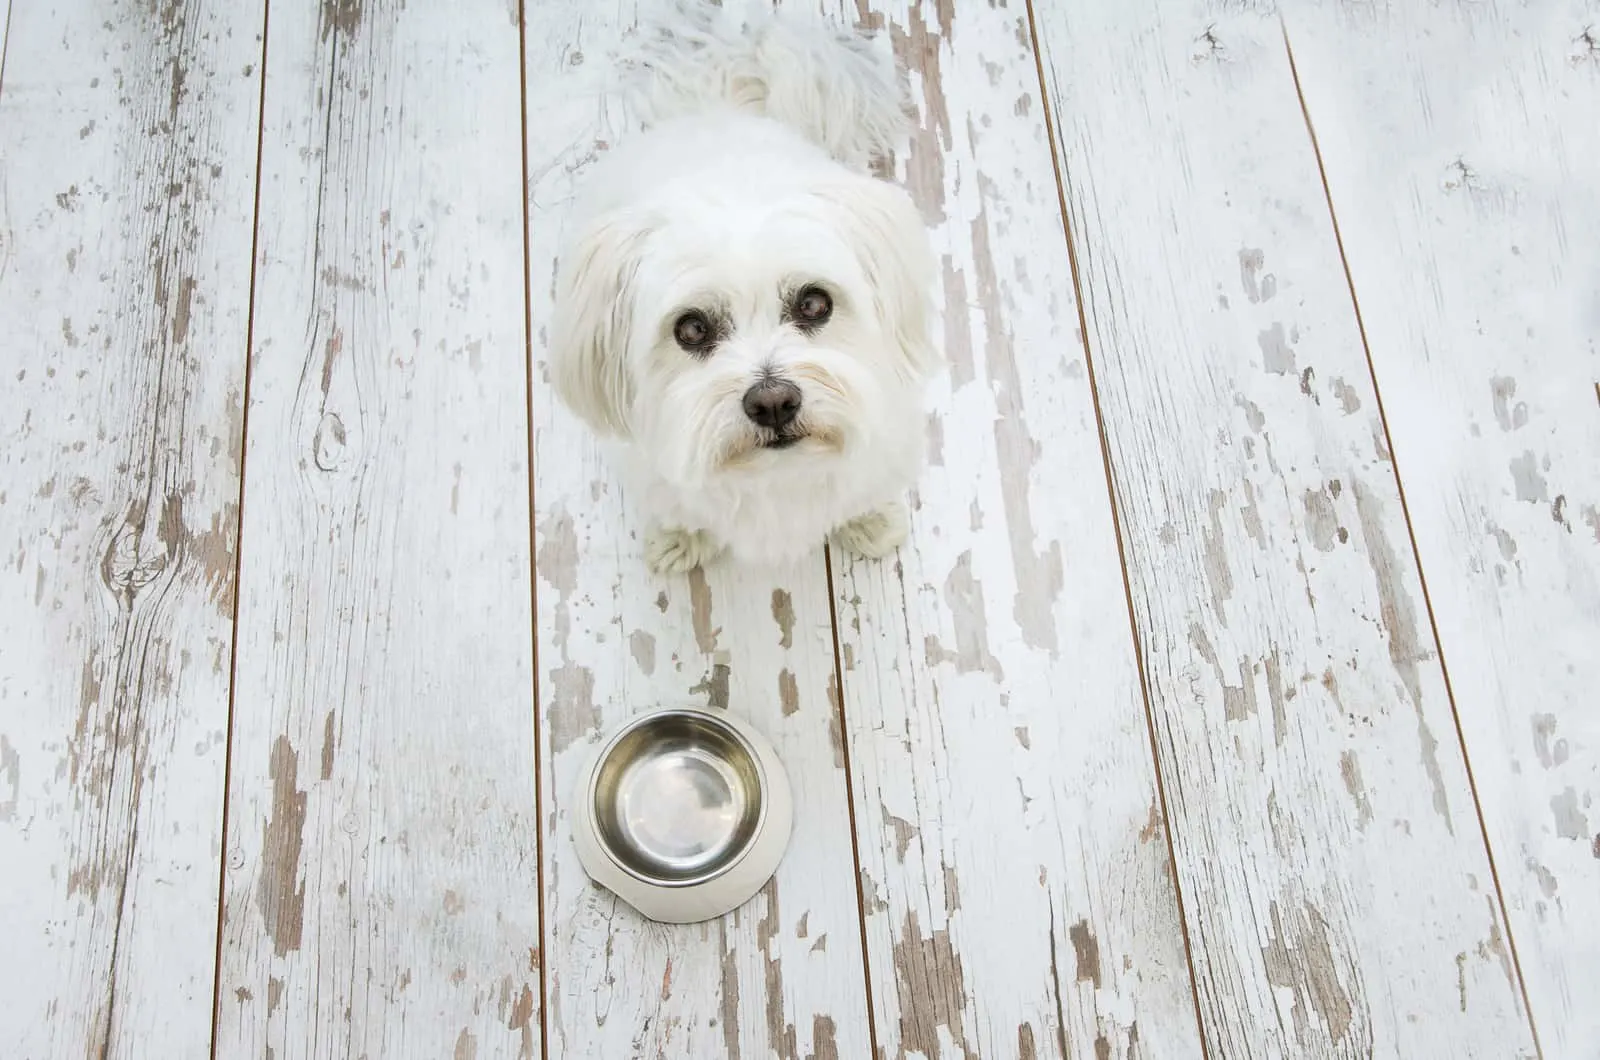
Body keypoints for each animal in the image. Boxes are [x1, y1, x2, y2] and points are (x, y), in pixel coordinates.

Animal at [553, 0, 934, 576]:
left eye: (814, 302)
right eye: (690, 329)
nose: (774, 402)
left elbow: (863, 485)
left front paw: (869, 519)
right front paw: (680, 536)